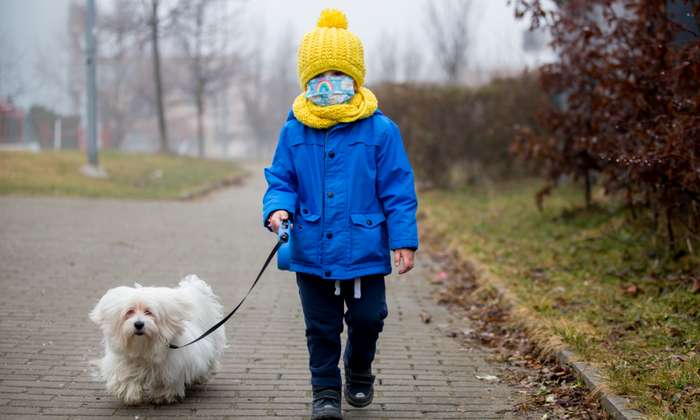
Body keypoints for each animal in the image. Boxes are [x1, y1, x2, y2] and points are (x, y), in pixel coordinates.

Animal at [90, 274, 226, 406]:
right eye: (130, 311)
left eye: (148, 312)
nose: (138, 324)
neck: (143, 346)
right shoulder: (123, 362)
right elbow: (126, 377)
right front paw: (130, 394)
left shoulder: (171, 367)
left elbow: (165, 382)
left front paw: (162, 397)